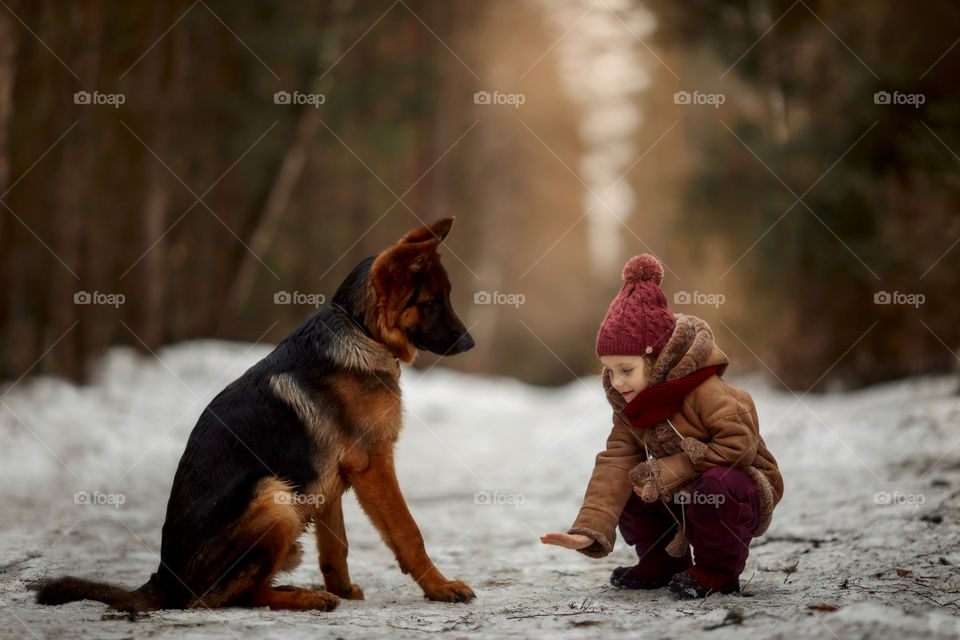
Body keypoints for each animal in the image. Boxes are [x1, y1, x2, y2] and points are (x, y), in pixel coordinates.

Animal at [39, 218, 478, 612]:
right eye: (433, 301)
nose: (471, 343)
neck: (360, 329)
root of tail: (164, 579)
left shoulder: (334, 478)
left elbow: (336, 544)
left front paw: (344, 588)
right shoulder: (373, 464)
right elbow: (408, 531)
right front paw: (440, 587)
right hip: (272, 495)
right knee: (227, 598)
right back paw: (304, 598)